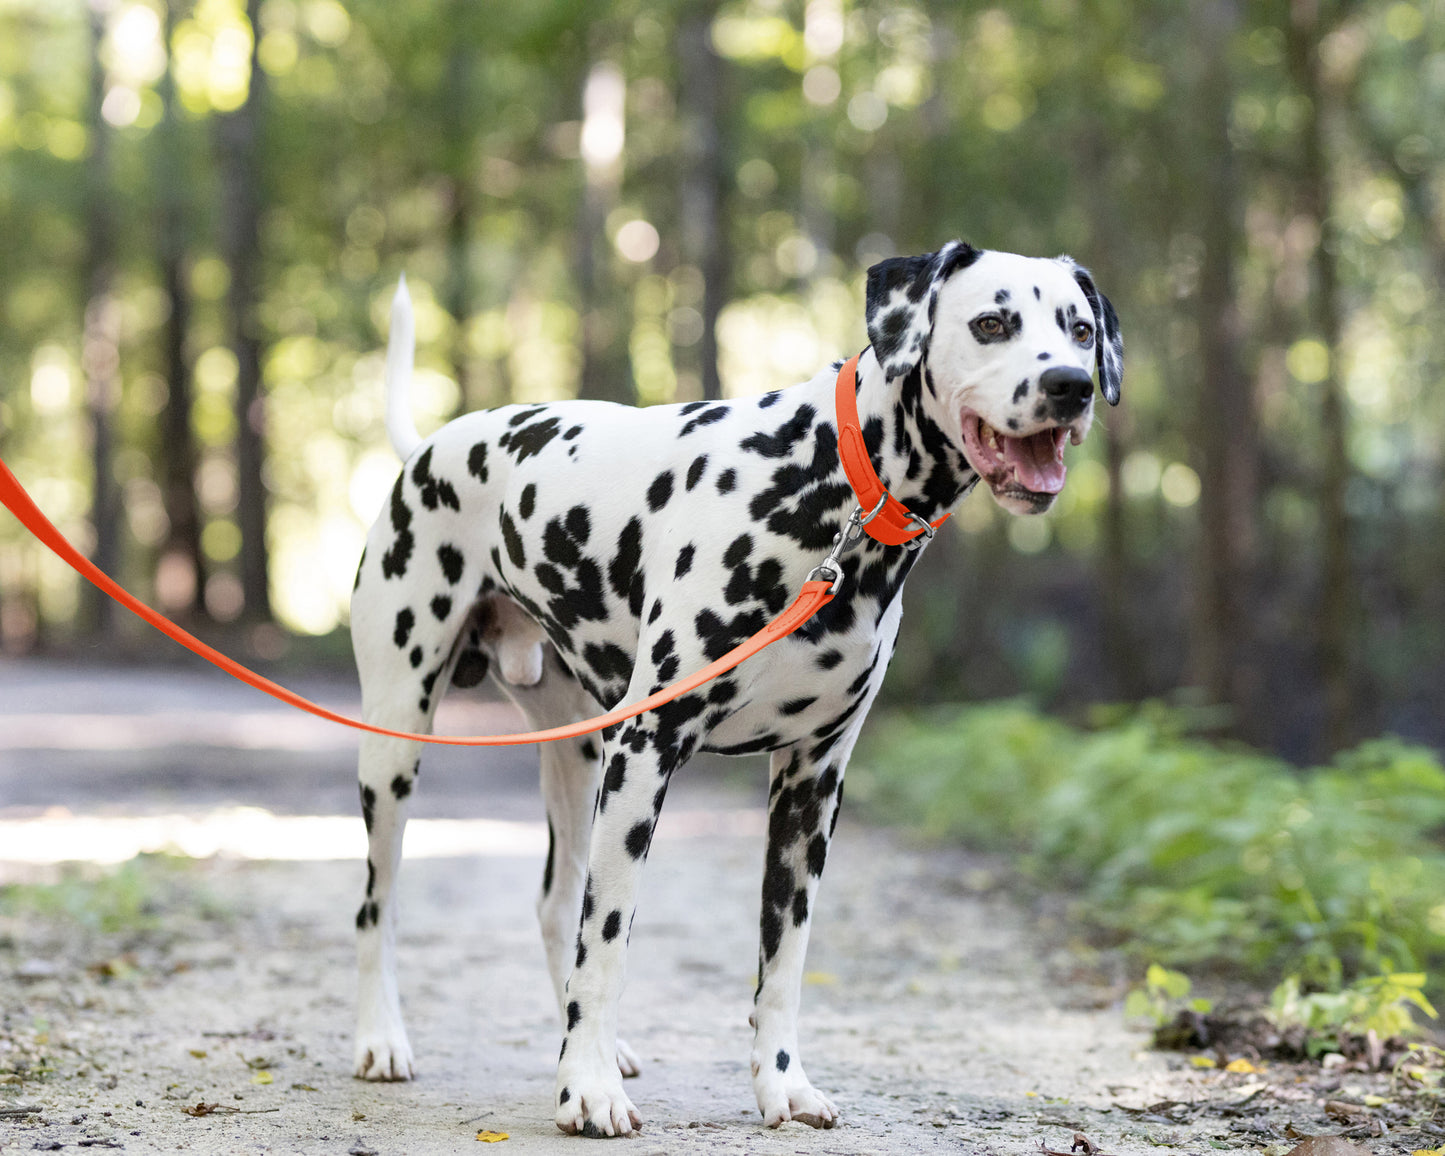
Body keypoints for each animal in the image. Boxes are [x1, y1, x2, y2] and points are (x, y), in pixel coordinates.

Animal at [346, 239, 1115, 1132]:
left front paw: (780, 1084)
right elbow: (609, 939)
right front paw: (587, 1091)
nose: (1070, 385)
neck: (831, 488)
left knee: (554, 904)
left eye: (1079, 329)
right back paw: (383, 1040)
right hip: (397, 748)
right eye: (991, 322)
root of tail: (430, 447)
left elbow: (782, 961)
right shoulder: (646, 754)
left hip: (575, 758)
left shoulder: (810, 786)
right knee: (379, 905)